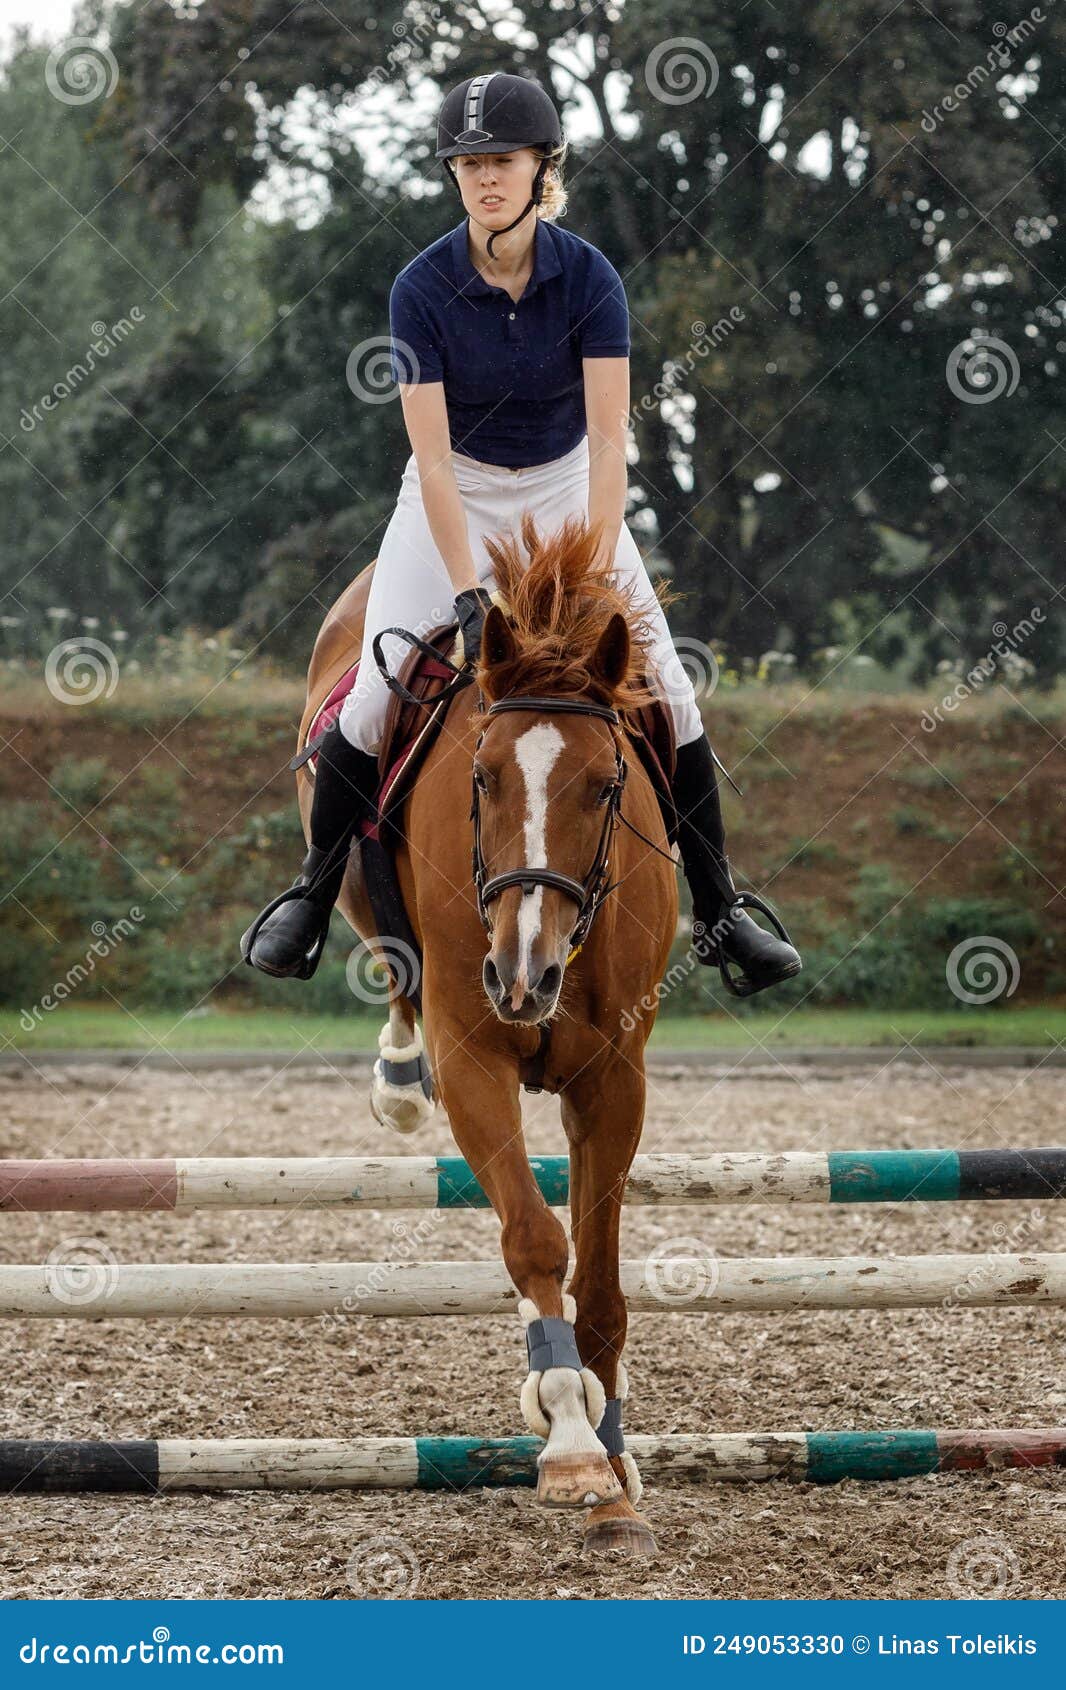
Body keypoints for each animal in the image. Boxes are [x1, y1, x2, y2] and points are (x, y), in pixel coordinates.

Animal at [293, 517, 675, 1554]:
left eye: (605, 785)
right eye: (481, 776)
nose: (522, 976)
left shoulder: (614, 1078)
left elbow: (603, 1281)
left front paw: (615, 1464)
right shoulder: (474, 1059)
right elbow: (538, 1242)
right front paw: (573, 1443)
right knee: (391, 974)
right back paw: (395, 1078)